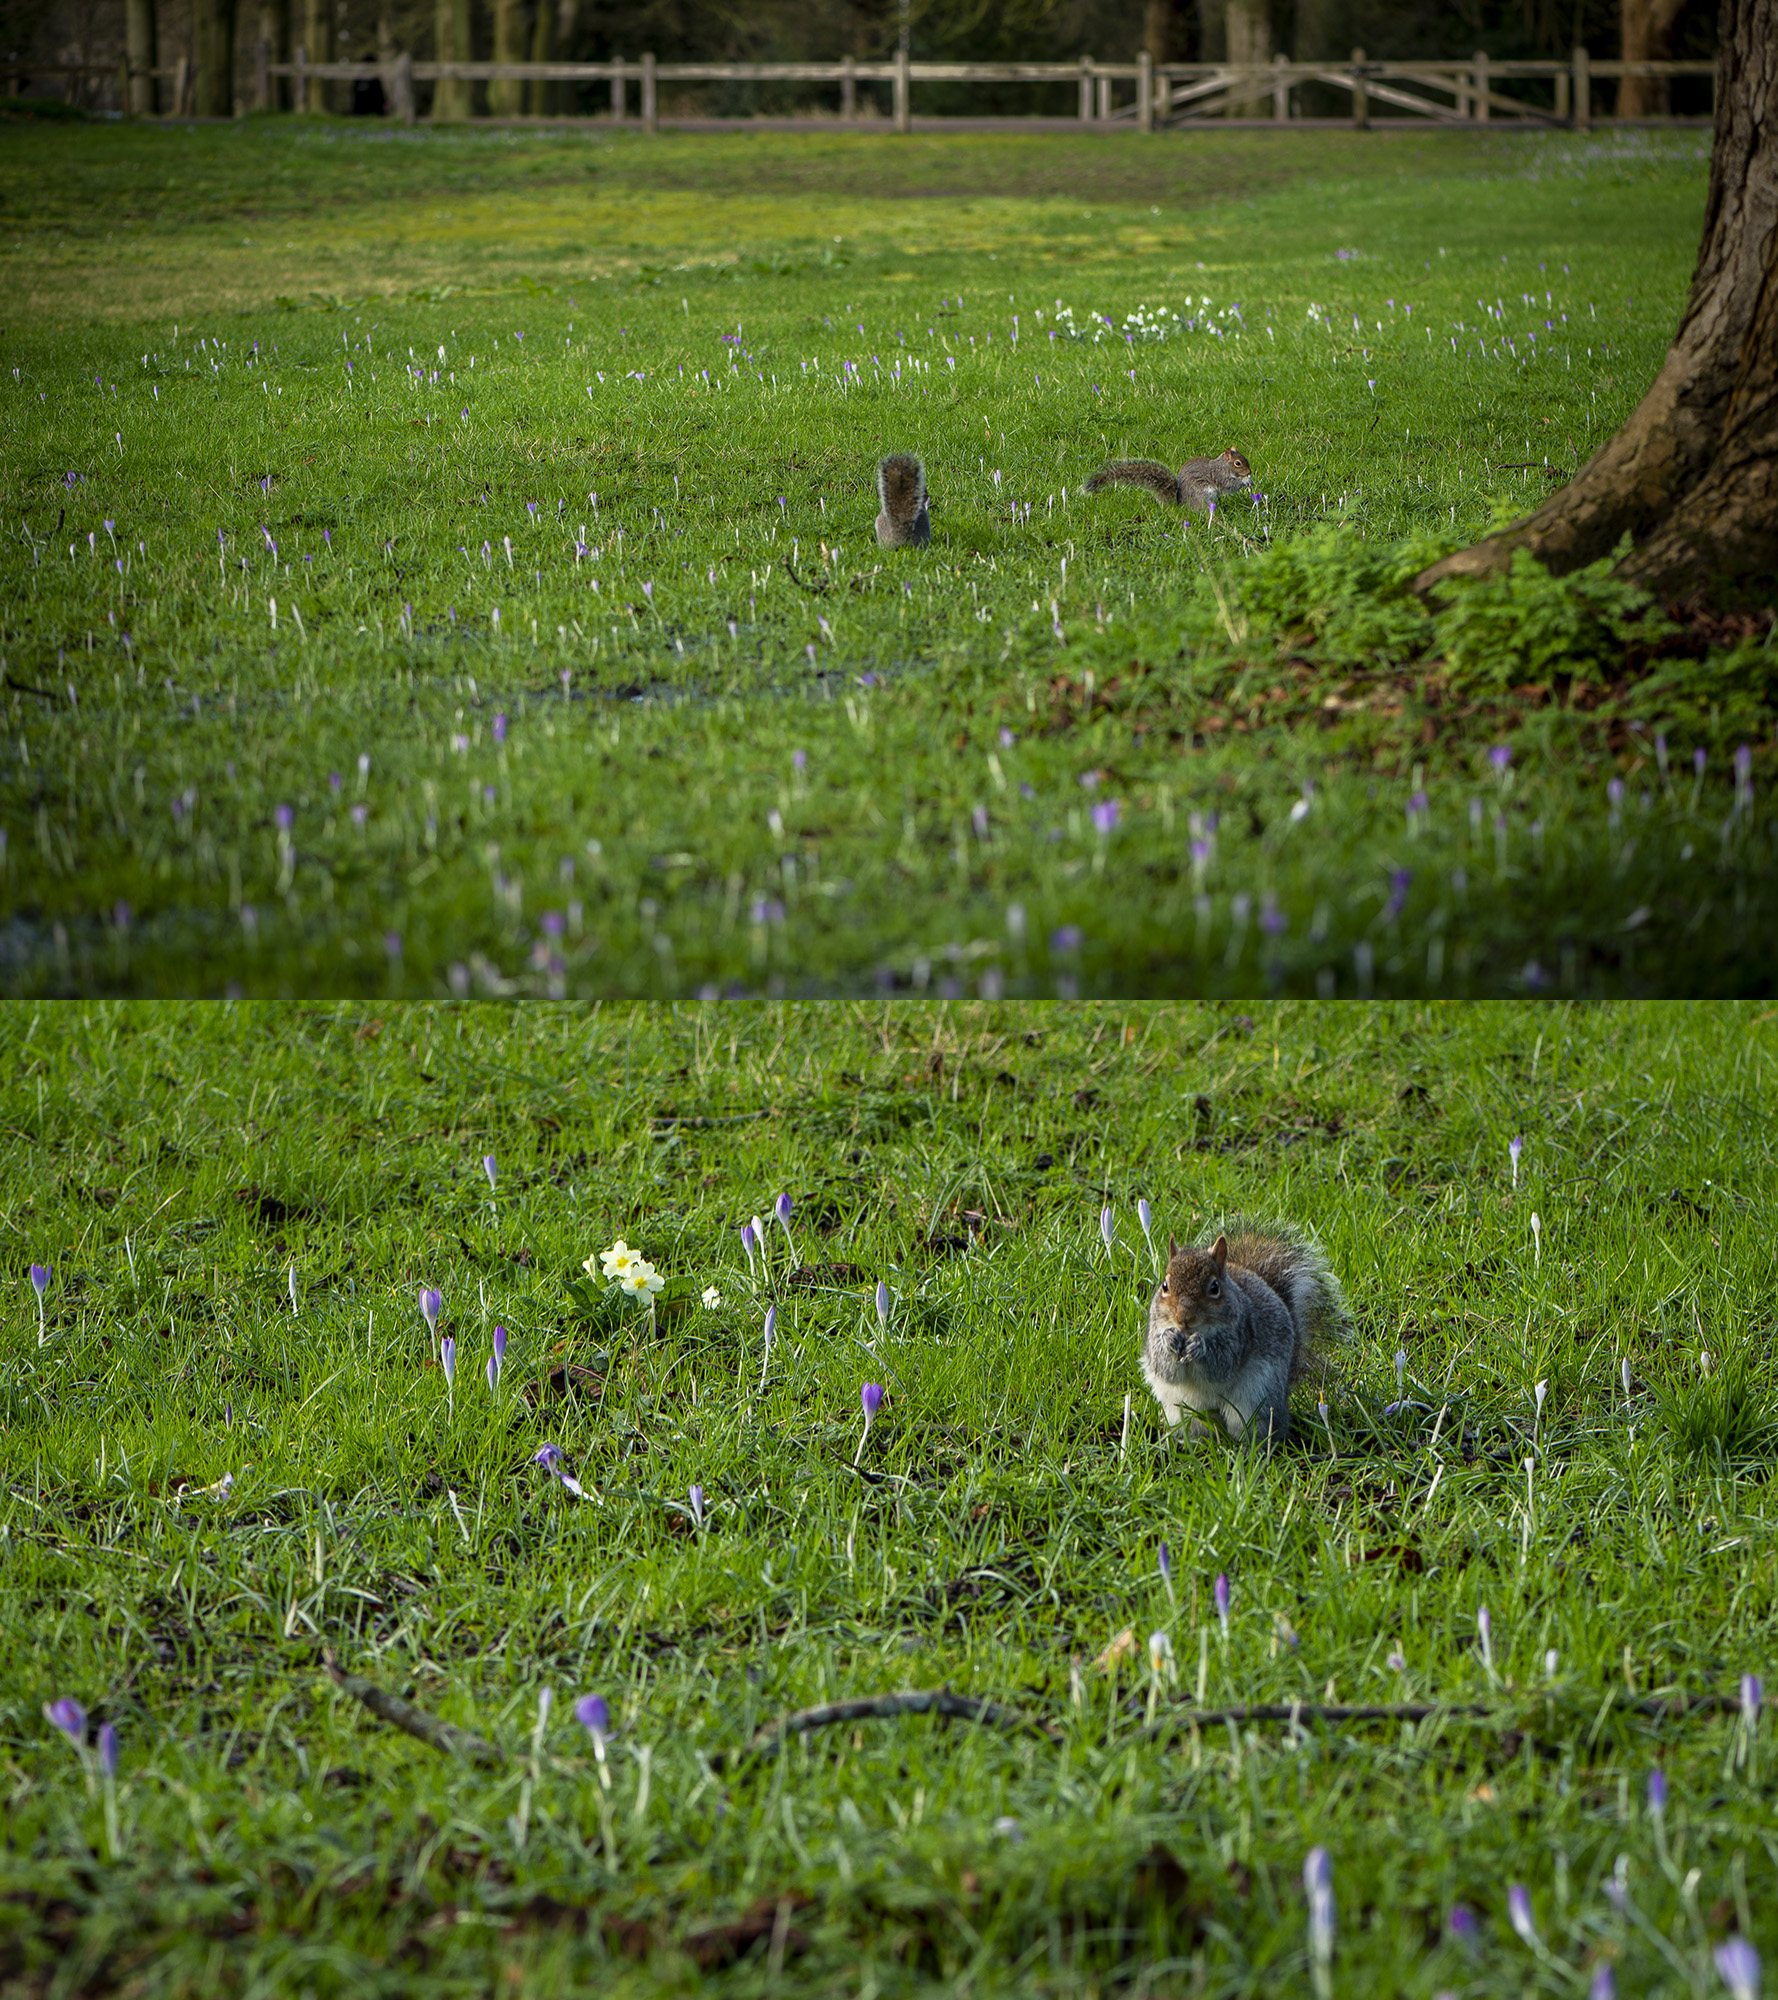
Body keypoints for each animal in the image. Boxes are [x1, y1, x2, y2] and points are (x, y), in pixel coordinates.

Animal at [1080, 452, 1248, 516]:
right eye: (1238, 463)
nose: (1249, 471)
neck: (1223, 465)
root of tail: (1180, 506)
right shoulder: (1218, 476)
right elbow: (1228, 486)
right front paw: (1244, 481)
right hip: (1204, 493)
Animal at [1144, 1224, 1336, 1448]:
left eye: (1214, 1288)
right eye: (1165, 1286)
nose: (1184, 1318)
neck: (1191, 1332)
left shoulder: (1241, 1333)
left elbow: (1221, 1365)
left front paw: (1199, 1347)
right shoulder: (1155, 1330)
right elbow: (1165, 1368)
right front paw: (1169, 1339)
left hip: (1256, 1401)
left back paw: (1250, 1448)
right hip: (1183, 1411)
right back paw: (1195, 1443)